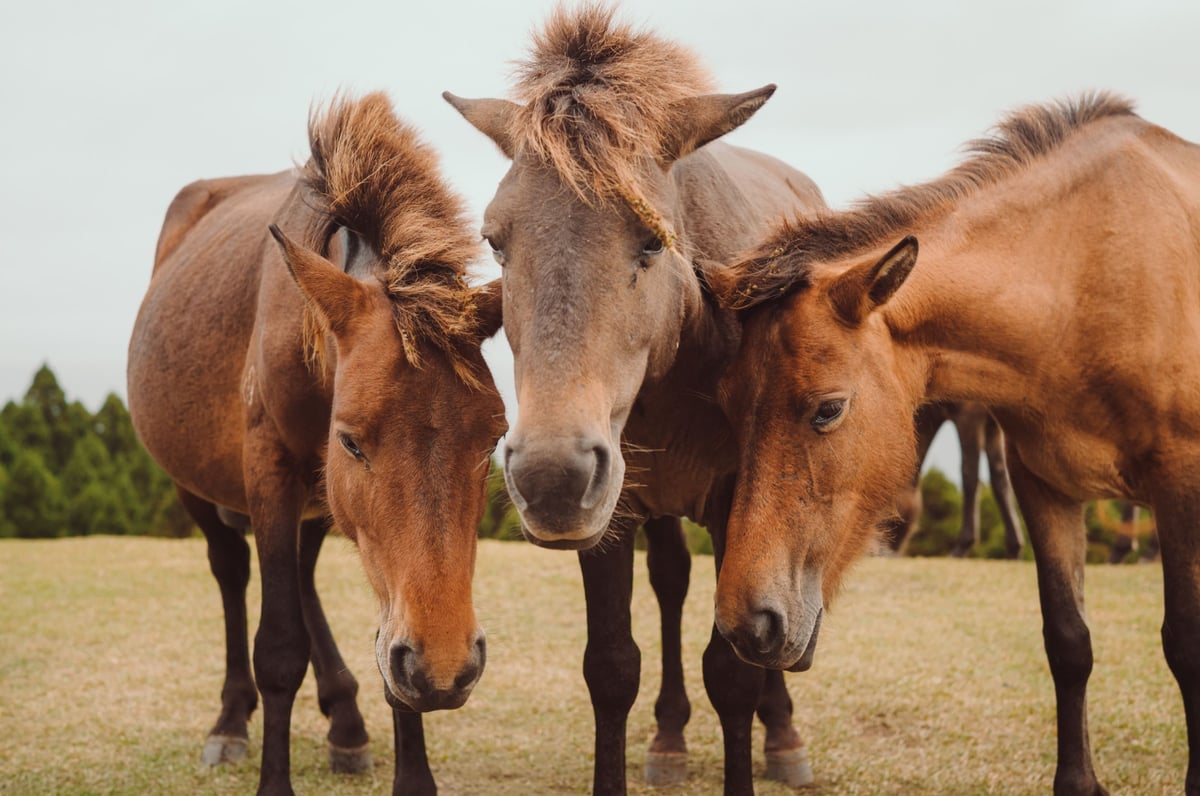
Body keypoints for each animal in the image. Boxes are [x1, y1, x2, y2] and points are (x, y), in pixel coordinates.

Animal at [127, 93, 506, 796]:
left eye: (493, 437)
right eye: (351, 442)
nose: (446, 668)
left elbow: (385, 648)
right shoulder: (271, 466)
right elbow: (278, 646)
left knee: (303, 580)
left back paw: (346, 723)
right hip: (198, 487)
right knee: (231, 571)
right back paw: (231, 722)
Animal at [444, 6, 824, 793]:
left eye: (652, 241)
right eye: (495, 242)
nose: (551, 479)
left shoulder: (737, 501)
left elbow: (735, 669)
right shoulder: (612, 517)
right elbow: (612, 667)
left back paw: (782, 736)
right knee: (672, 583)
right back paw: (671, 737)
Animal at [887, 402, 1025, 558]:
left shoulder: (970, 414)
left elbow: (970, 476)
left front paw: (962, 545)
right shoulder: (993, 427)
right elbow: (1000, 480)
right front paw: (1014, 548)